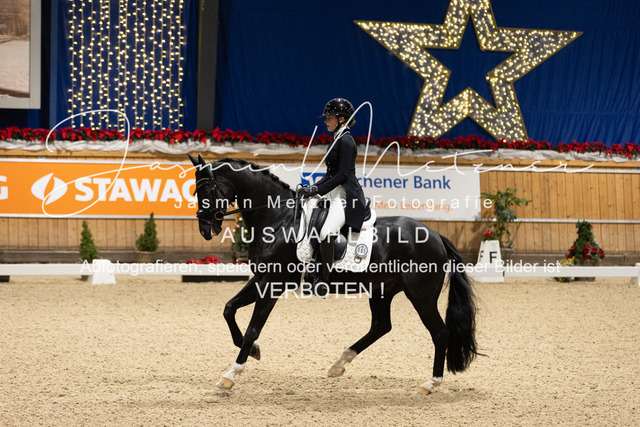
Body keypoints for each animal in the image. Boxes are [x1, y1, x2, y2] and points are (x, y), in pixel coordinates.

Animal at [188, 155, 478, 394]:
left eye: (206, 189)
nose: (205, 229)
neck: (278, 219)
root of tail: (437, 236)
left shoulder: (272, 285)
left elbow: (252, 329)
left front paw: (230, 375)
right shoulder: (260, 280)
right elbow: (229, 309)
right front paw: (254, 353)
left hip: (421, 295)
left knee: (439, 333)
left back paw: (430, 384)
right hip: (382, 289)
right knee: (381, 326)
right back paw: (339, 363)